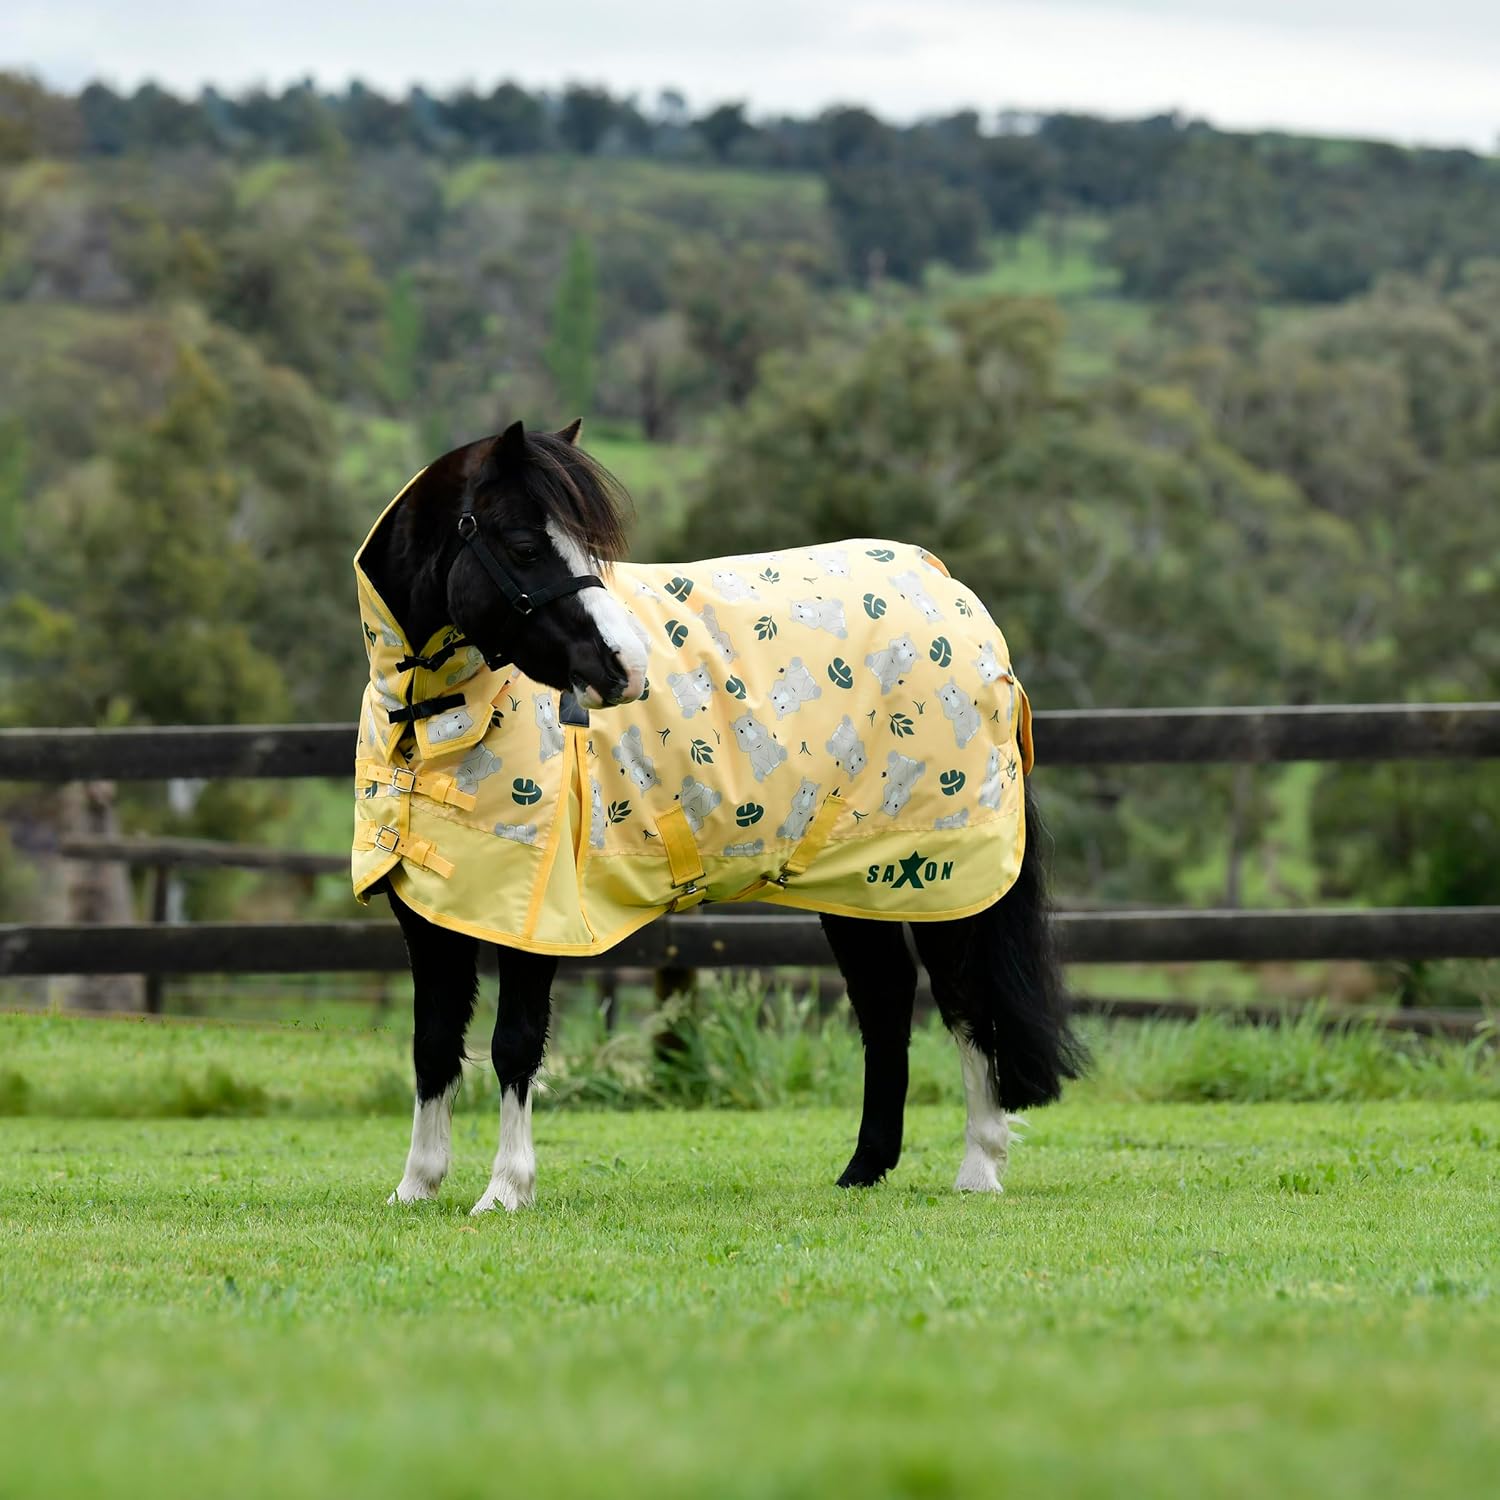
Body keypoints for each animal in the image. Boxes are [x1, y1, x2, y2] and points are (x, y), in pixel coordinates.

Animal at [354, 420, 1085, 1215]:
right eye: (523, 545)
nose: (626, 669)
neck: (436, 723)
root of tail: (951, 592)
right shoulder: (431, 914)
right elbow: (433, 1043)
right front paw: (415, 1186)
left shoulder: (534, 917)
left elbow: (513, 1041)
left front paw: (505, 1191)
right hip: (857, 881)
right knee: (886, 998)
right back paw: (864, 1170)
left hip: (944, 882)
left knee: (965, 1003)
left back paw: (979, 1167)